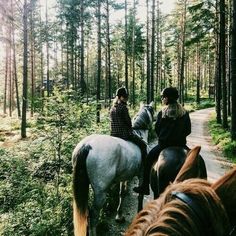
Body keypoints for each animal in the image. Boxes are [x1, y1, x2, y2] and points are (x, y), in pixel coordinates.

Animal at [72, 102, 153, 236]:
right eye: (152, 110)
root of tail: (87, 145)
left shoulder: (124, 177)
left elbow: (122, 193)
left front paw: (119, 216)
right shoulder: (141, 175)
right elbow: (140, 195)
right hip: (101, 191)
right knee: (93, 214)